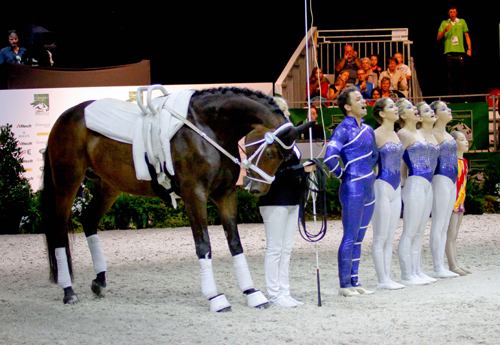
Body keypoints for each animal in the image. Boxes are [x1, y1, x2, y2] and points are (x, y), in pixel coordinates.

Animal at [41, 87, 312, 310]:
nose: (257, 189)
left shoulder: (225, 194)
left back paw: (99, 280)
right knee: (58, 230)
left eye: (285, 157)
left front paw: (252, 293)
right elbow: (204, 245)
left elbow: (235, 242)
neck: (207, 127)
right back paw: (68, 291)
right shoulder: (195, 195)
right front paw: (215, 298)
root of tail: (66, 116)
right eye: (270, 152)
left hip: (108, 185)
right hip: (67, 182)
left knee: (88, 220)